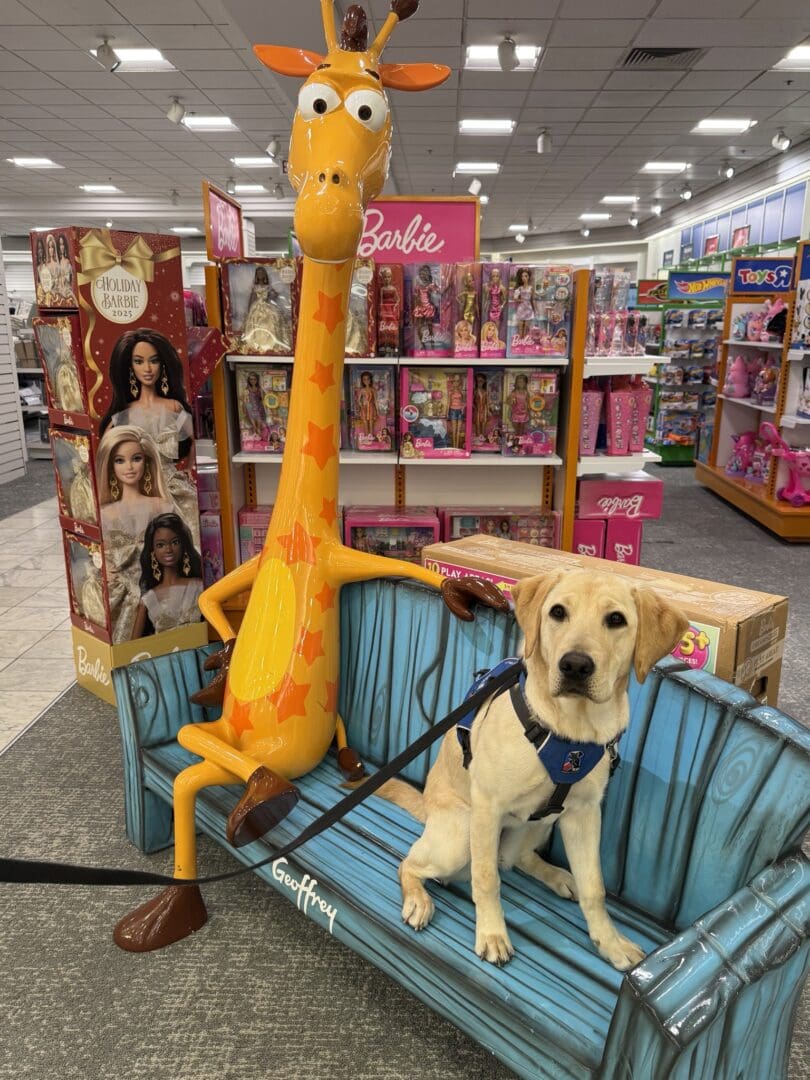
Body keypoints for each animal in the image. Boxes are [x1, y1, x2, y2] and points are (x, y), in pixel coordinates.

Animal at [378, 569, 688, 971]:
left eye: (616, 619)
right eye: (557, 612)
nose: (575, 665)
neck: (570, 729)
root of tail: (428, 808)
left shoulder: (584, 815)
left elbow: (594, 888)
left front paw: (609, 941)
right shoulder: (487, 806)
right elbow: (486, 879)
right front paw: (492, 934)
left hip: (543, 823)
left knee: (518, 859)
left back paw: (558, 876)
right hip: (460, 836)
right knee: (411, 864)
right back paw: (418, 899)